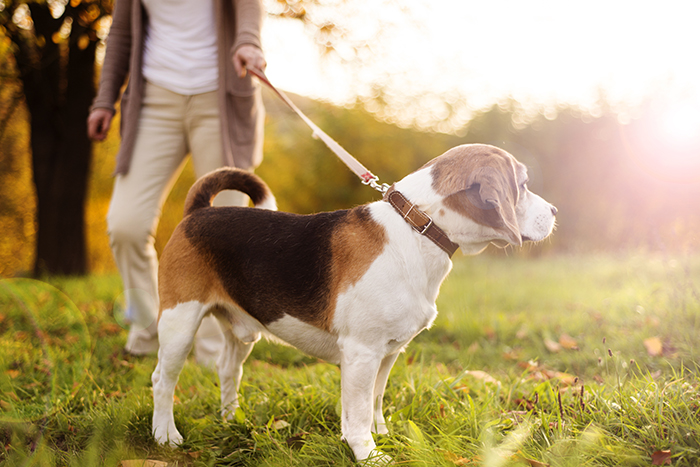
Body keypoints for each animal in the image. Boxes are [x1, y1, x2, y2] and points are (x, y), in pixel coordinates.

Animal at [150, 144, 556, 462]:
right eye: (522, 185)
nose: (554, 212)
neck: (417, 228)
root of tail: (198, 211)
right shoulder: (362, 352)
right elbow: (358, 411)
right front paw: (368, 453)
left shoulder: (388, 352)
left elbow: (375, 401)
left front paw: (382, 435)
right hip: (179, 323)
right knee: (162, 380)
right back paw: (165, 436)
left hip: (240, 332)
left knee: (227, 370)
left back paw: (231, 420)